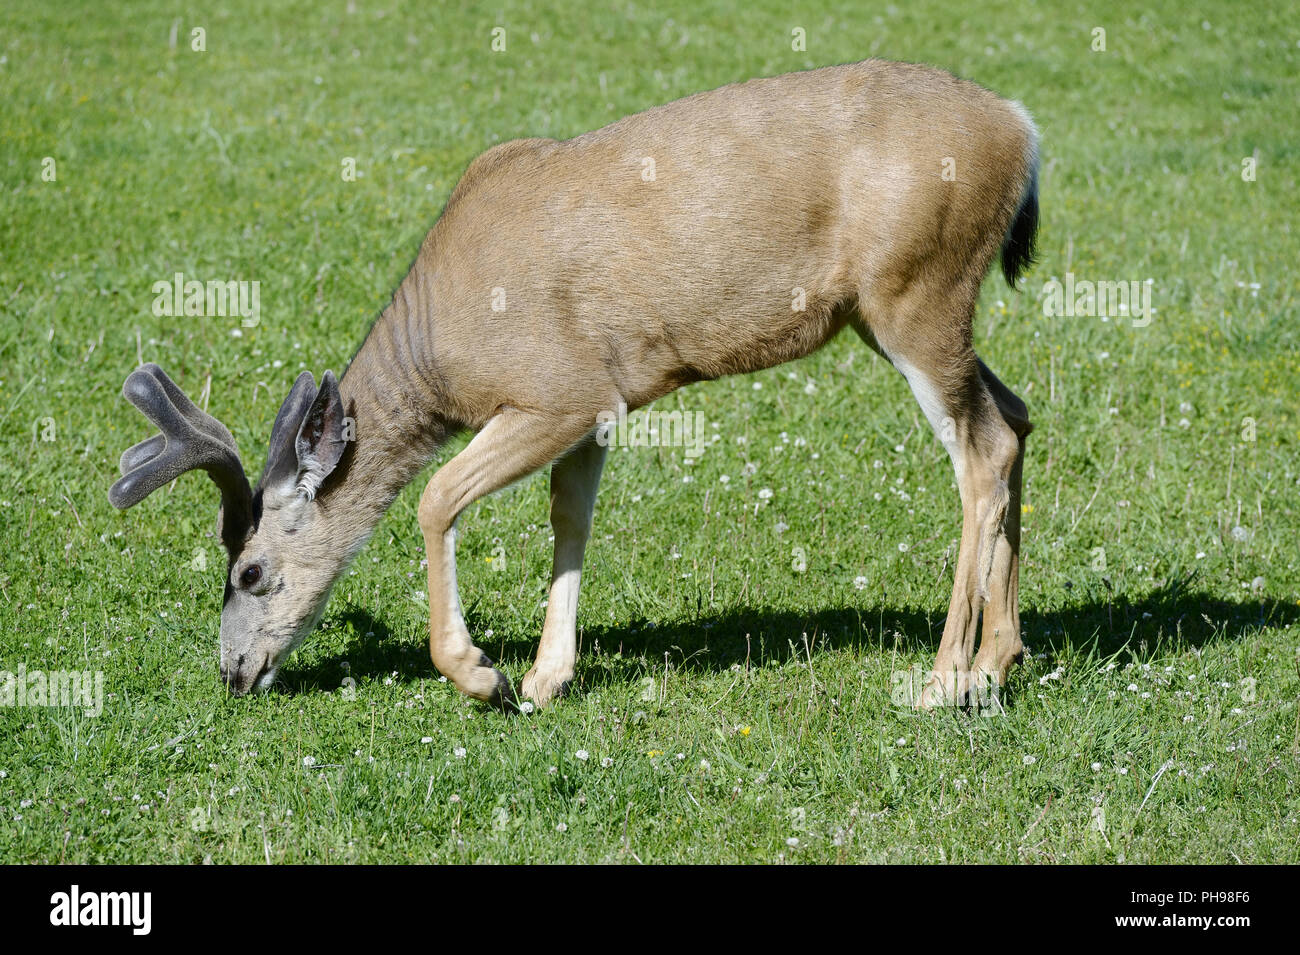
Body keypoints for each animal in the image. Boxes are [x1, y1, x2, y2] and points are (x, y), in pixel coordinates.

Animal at [109, 59, 1038, 711]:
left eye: (250, 571)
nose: (232, 671)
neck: (443, 347)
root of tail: (1023, 133)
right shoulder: (603, 401)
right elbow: (570, 514)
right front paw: (547, 676)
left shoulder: (558, 387)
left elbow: (436, 497)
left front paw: (482, 675)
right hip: (899, 311)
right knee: (1018, 416)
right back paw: (998, 661)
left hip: (918, 290)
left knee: (983, 450)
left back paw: (942, 680)